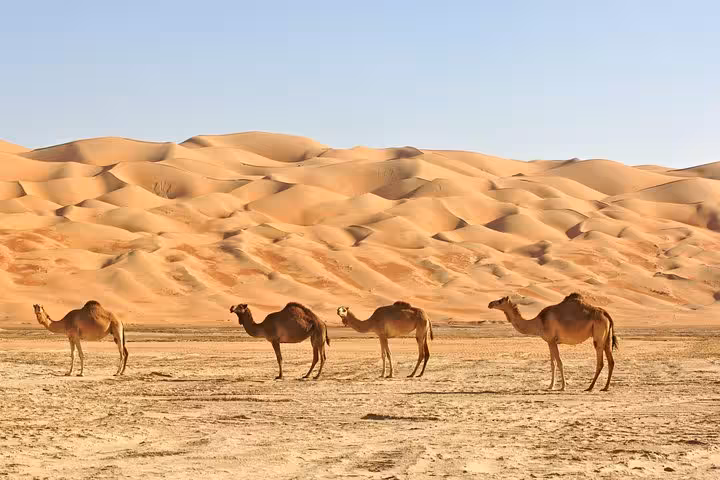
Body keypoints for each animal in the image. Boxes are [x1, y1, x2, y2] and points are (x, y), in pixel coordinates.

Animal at [488, 293, 618, 391]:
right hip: (607, 338)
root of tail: (606, 313)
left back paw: (590, 387)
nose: (490, 304)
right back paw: (605, 387)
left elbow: (559, 362)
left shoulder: (552, 340)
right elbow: (553, 363)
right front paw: (550, 386)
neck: (538, 322)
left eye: (500, 301)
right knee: (611, 361)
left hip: (598, 336)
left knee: (600, 362)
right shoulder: (549, 342)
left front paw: (563, 387)